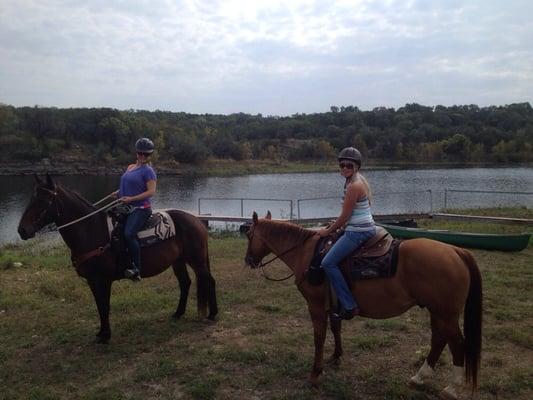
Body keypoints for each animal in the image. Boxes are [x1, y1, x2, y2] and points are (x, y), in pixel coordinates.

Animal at [17, 175, 216, 344]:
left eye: (44, 200)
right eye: (31, 198)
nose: (22, 230)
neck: (92, 231)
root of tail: (196, 220)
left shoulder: (103, 280)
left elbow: (104, 306)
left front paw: (105, 336)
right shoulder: (93, 281)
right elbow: (99, 306)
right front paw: (101, 333)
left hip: (196, 259)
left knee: (208, 280)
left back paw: (212, 314)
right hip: (178, 261)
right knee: (185, 283)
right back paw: (178, 313)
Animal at [245, 211, 482, 398]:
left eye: (249, 234)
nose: (248, 260)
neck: (308, 253)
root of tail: (456, 251)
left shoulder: (316, 305)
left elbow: (319, 337)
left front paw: (315, 374)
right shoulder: (333, 305)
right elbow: (336, 328)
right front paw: (336, 357)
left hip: (446, 314)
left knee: (457, 343)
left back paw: (451, 388)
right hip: (437, 311)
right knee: (439, 339)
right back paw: (419, 377)